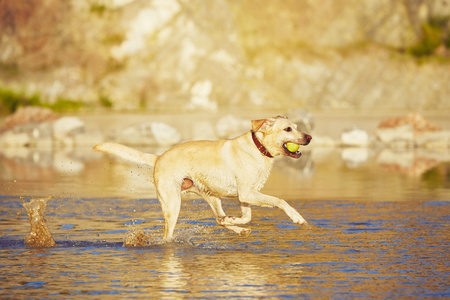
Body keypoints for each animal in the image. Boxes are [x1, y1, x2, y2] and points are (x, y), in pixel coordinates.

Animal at [94, 116, 312, 240]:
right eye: (288, 129)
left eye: (297, 126)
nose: (309, 137)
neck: (259, 148)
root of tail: (159, 157)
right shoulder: (247, 193)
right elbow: (280, 200)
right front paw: (297, 217)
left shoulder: (245, 196)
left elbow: (247, 217)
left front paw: (234, 220)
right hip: (173, 204)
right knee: (167, 236)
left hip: (211, 196)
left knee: (218, 219)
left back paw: (233, 225)